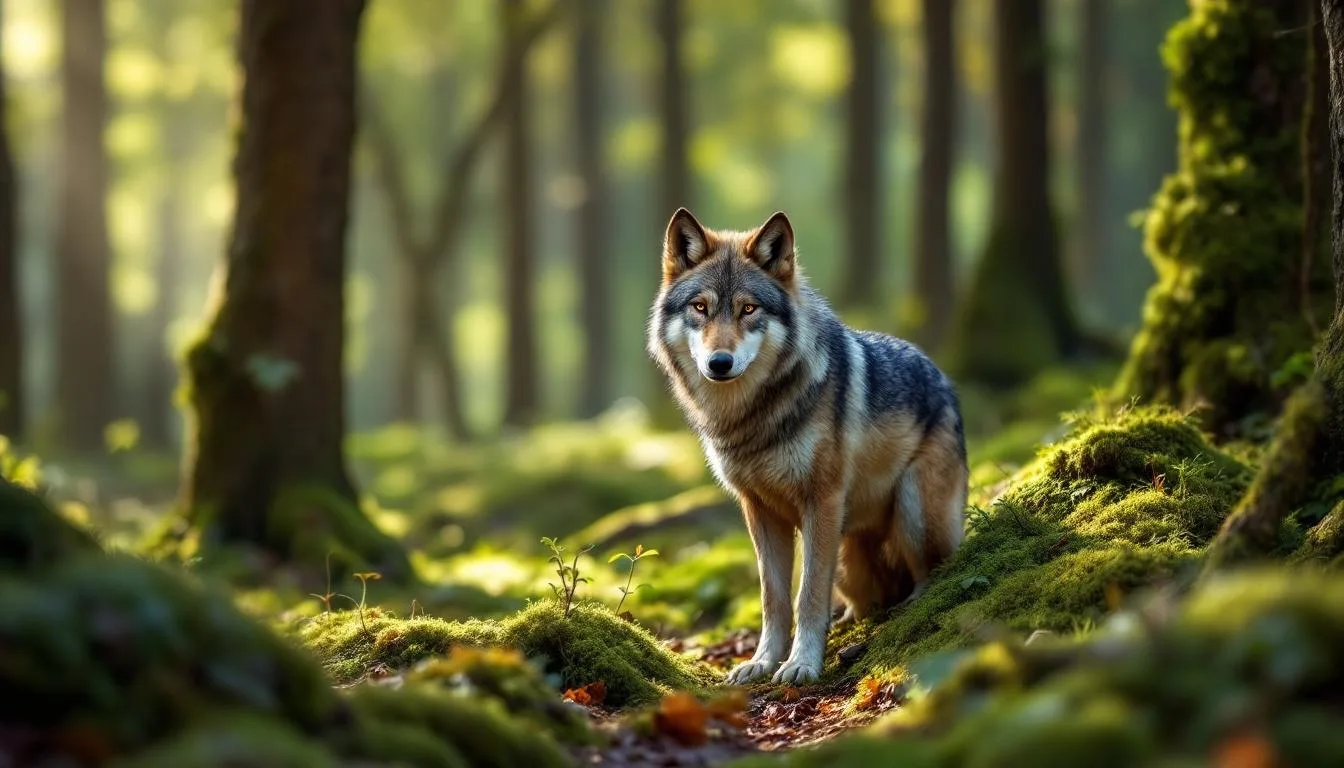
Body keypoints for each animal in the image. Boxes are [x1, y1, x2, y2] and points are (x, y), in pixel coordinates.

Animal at [646, 208, 968, 685]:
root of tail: (945, 379)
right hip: (850, 558)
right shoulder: (758, 511)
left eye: (748, 309)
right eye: (700, 307)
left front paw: (801, 663)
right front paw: (762, 661)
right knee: (870, 599)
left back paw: (910, 609)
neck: (751, 418)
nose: (719, 363)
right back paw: (855, 619)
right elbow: (774, 598)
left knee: (933, 571)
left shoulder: (822, 501)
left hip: (913, 510)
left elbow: (808, 594)